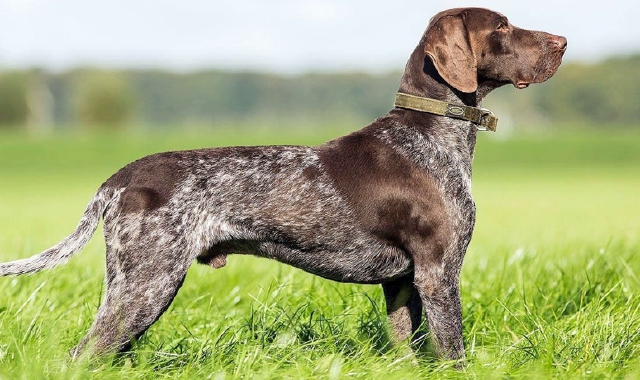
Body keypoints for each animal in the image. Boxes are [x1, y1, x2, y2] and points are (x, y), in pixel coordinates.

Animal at [2, 6, 568, 362]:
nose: (563, 41)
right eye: (502, 25)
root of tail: (118, 179)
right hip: (146, 284)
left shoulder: (403, 282)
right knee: (83, 354)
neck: (430, 135)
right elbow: (453, 353)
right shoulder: (438, 273)